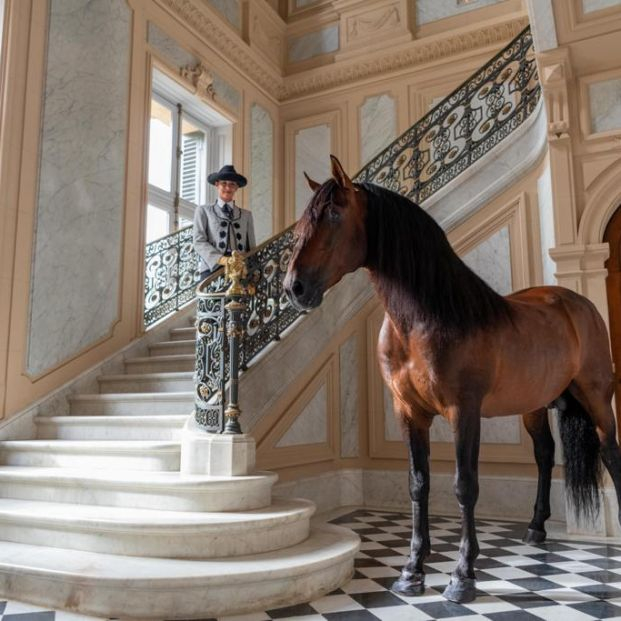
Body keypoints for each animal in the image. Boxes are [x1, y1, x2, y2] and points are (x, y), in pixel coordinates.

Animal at [284, 155, 620, 600]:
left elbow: (465, 485)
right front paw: (412, 570)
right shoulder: (408, 412)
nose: (294, 288)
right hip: (533, 406)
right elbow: (418, 483)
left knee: (610, 452)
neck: (423, 318)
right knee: (545, 454)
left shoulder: (464, 411)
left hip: (597, 397)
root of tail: (576, 302)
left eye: (335, 214)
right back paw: (535, 528)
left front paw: (462, 574)